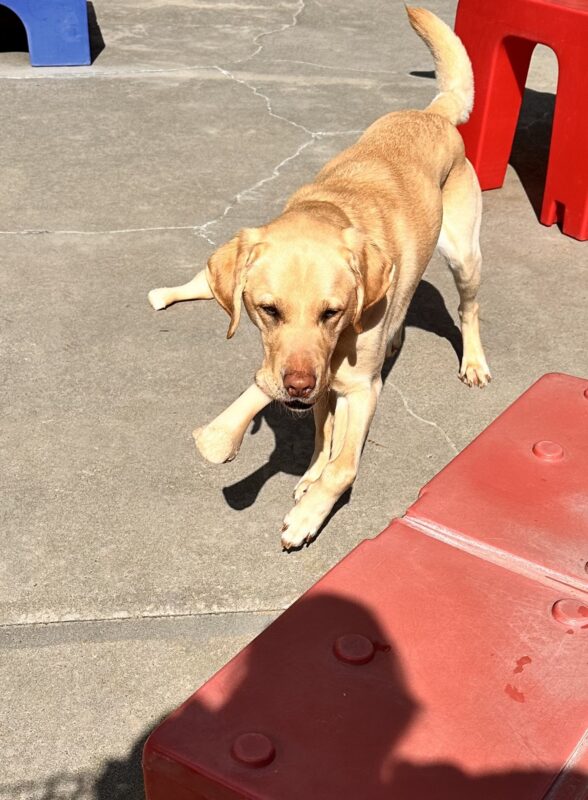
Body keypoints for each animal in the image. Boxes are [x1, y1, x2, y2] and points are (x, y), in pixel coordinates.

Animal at [149, 9, 490, 552]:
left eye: (332, 311)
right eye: (268, 310)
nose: (296, 384)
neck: (331, 209)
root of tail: (432, 114)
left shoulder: (362, 389)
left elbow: (342, 466)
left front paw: (308, 514)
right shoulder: (316, 382)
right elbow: (320, 436)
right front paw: (301, 471)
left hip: (463, 256)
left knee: (468, 308)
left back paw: (473, 361)